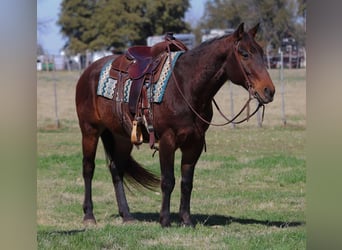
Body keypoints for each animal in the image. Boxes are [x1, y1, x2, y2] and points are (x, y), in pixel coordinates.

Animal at [75, 22, 276, 228]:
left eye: (261, 52)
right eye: (244, 54)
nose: (269, 91)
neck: (186, 86)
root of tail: (89, 71)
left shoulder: (194, 143)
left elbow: (186, 182)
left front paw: (186, 219)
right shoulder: (167, 140)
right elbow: (168, 181)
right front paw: (164, 220)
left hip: (122, 136)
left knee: (116, 169)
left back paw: (127, 215)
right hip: (90, 130)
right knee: (88, 168)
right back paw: (89, 215)